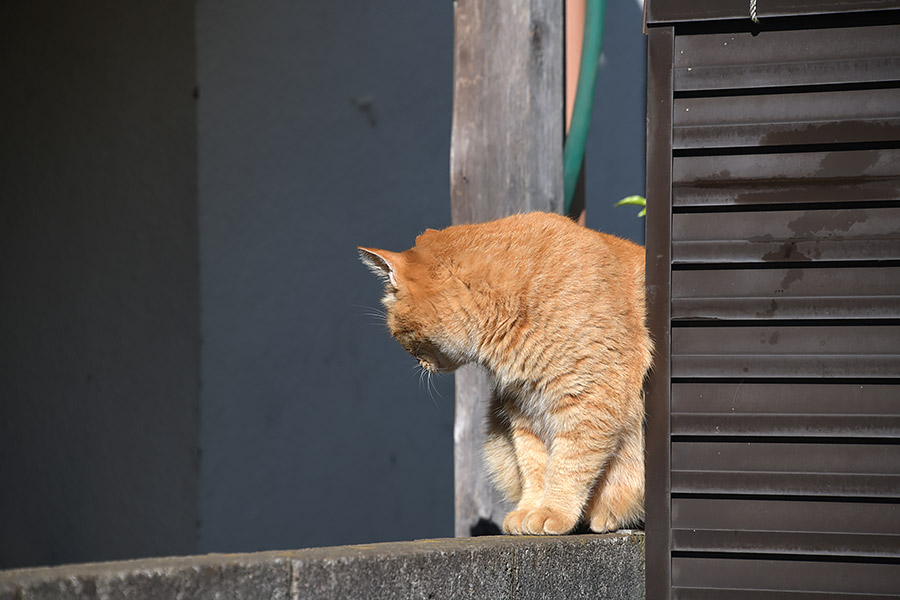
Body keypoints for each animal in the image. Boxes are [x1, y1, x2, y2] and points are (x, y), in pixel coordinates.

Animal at [358, 212, 652, 536]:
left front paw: (553, 511)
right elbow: (534, 466)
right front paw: (530, 509)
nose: (420, 364)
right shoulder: (523, 411)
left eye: (399, 334)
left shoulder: (589, 402)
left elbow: (568, 465)